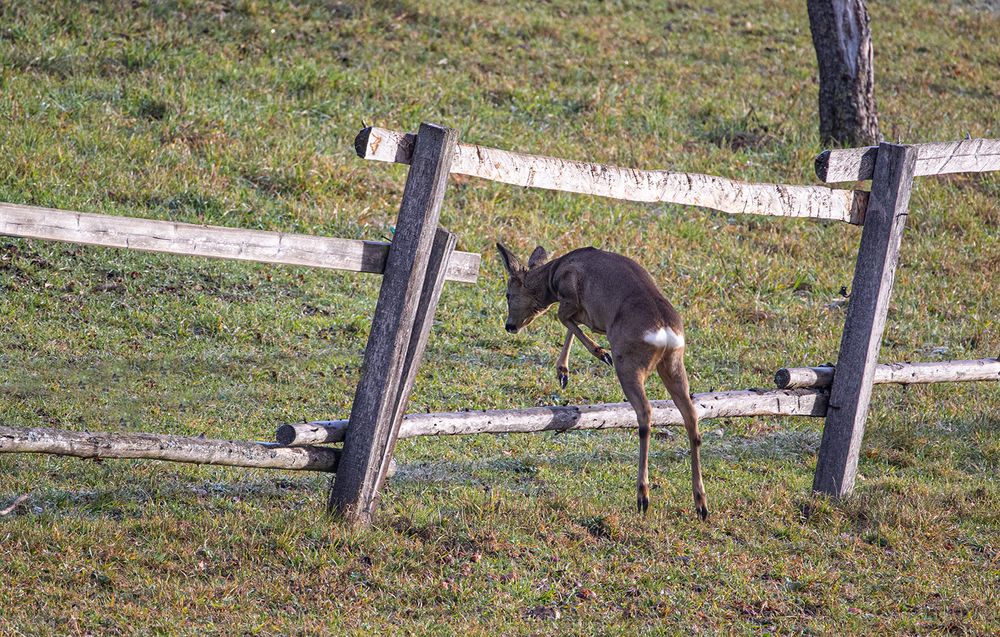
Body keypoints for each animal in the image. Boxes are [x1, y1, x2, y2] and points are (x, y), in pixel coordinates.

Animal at [496, 241, 708, 520]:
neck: (554, 274)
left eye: (508, 294)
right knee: (691, 418)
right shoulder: (588, 314)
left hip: (629, 363)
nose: (509, 325)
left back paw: (643, 497)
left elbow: (563, 319)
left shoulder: (571, 295)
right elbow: (570, 325)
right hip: (673, 364)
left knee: (645, 414)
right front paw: (563, 372)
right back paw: (701, 504)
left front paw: (598, 354)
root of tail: (663, 333)